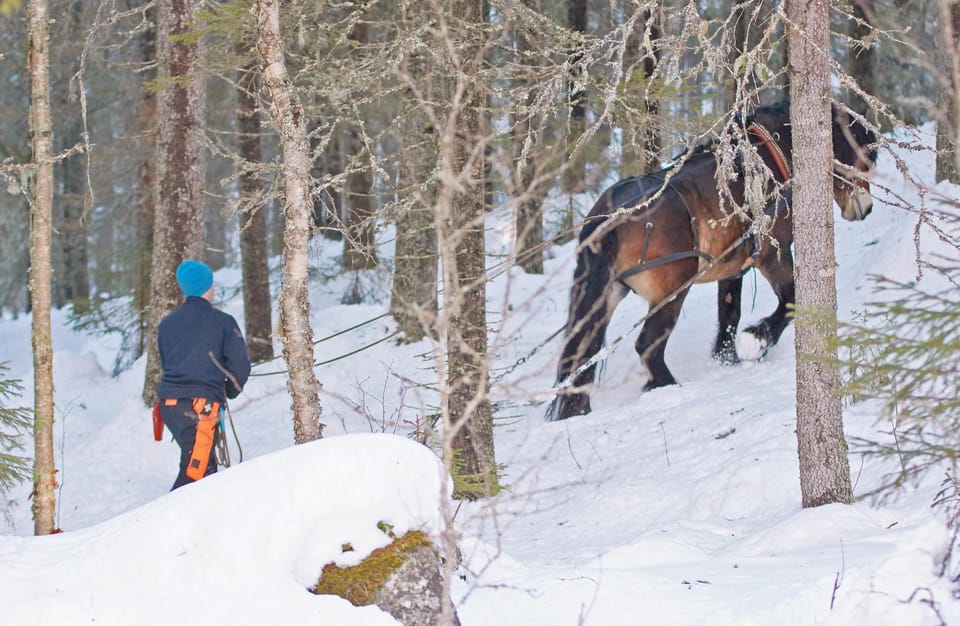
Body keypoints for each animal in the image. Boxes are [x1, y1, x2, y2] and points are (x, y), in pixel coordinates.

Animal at [548, 101, 876, 420]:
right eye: (867, 156)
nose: (867, 208)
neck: (771, 157)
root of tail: (611, 217)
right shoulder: (774, 253)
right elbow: (790, 300)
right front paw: (757, 340)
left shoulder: (732, 269)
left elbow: (730, 314)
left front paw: (728, 358)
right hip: (672, 292)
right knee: (647, 346)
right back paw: (668, 386)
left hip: (607, 294)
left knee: (582, 351)